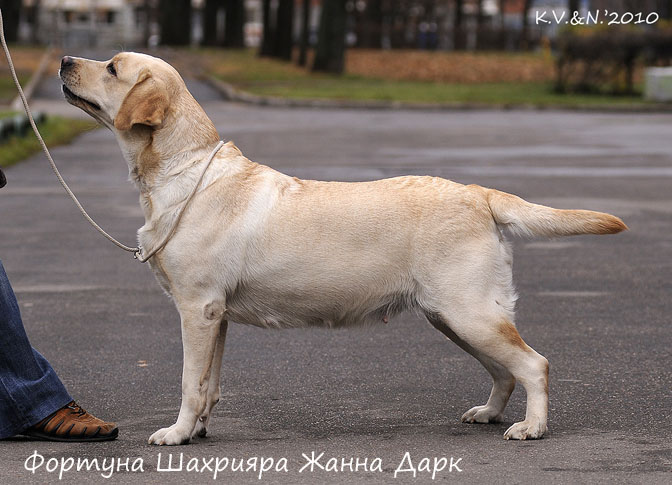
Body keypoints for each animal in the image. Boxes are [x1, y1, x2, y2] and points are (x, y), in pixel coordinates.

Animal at [59, 52, 624, 442]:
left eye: (112, 67)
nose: (65, 60)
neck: (184, 169)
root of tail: (479, 193)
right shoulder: (215, 317)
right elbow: (209, 385)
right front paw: (196, 430)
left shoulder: (196, 310)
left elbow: (187, 382)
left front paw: (175, 433)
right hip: (453, 317)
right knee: (505, 370)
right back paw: (488, 414)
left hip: (469, 313)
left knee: (534, 364)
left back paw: (531, 429)